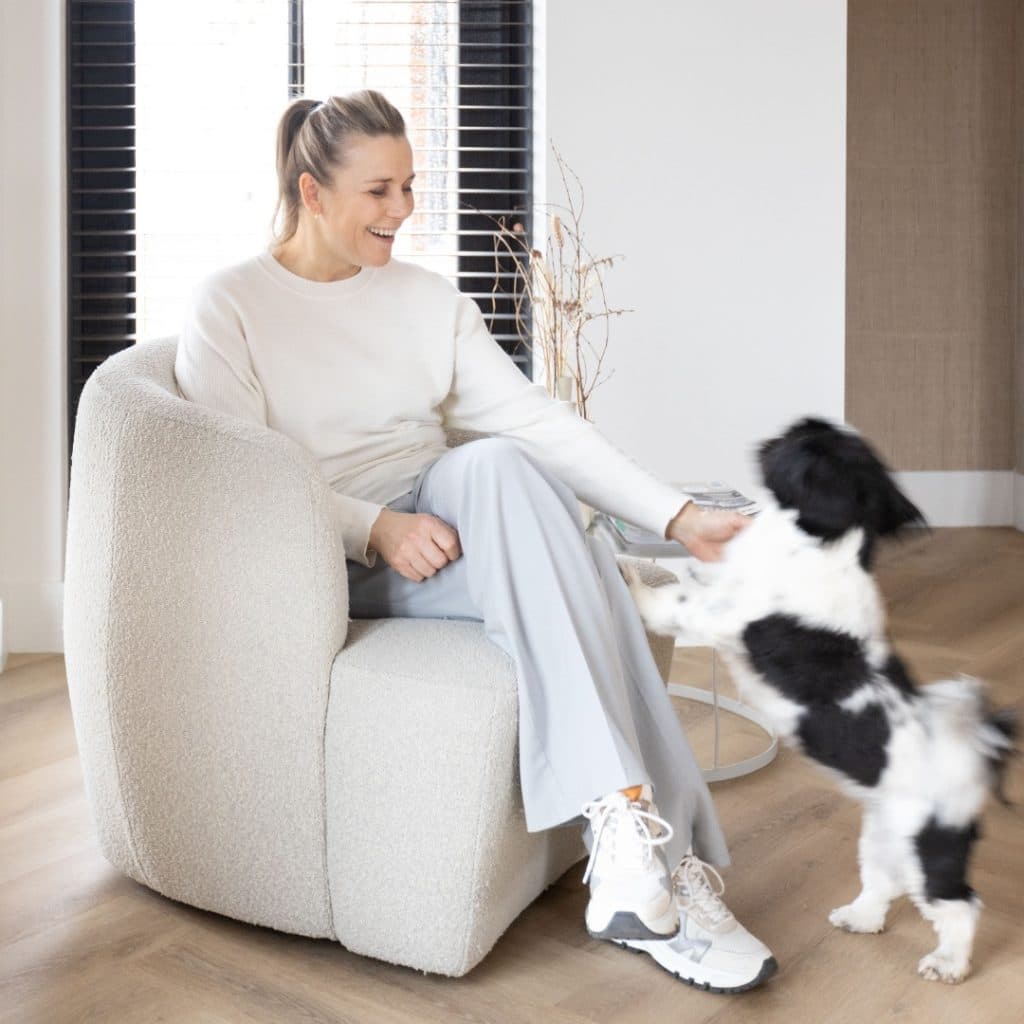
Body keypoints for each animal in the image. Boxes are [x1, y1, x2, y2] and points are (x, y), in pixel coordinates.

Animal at [622, 417, 1015, 983]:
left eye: (804, 442)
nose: (783, 430)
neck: (822, 543)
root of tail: (975, 751)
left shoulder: (717, 612)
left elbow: (668, 600)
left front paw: (629, 571)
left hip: (930, 848)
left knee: (960, 905)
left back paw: (948, 962)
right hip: (882, 836)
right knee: (883, 883)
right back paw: (861, 917)